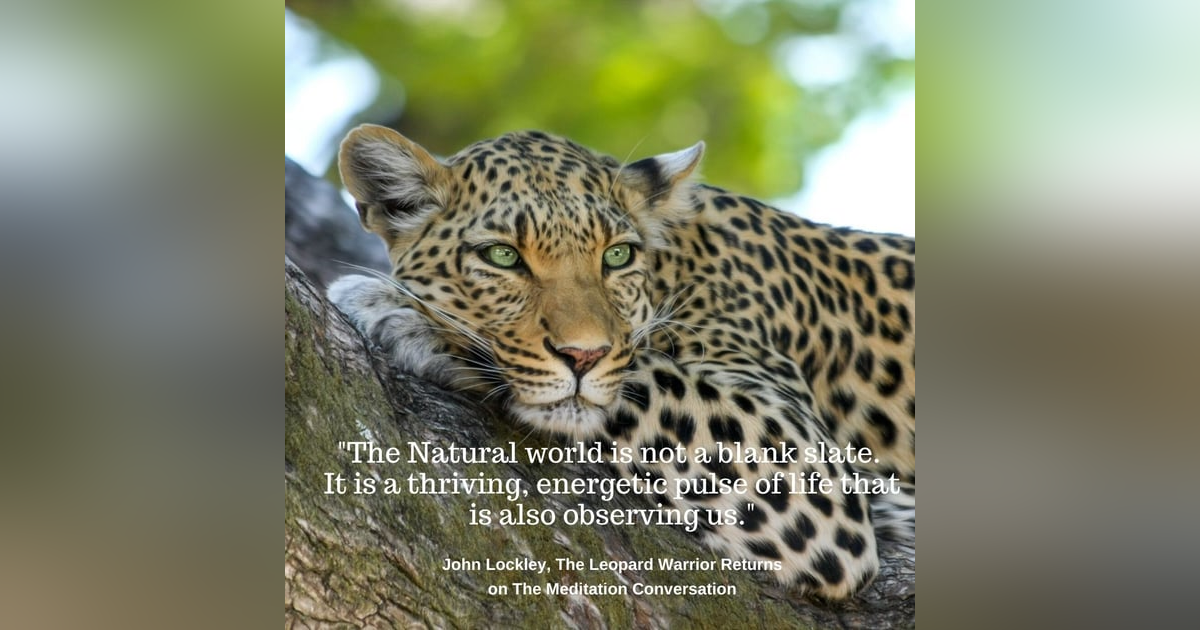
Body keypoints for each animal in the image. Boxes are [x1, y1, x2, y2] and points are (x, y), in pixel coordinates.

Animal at [326, 124, 915, 600]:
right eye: (502, 256)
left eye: (617, 256)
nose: (583, 355)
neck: (678, 267)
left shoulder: (809, 467)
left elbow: (638, 374)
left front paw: (400, 313)